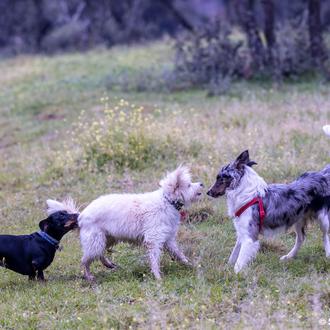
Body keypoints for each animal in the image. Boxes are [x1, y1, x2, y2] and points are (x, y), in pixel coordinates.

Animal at [51, 165, 204, 282]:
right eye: (189, 185)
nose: (202, 183)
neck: (167, 201)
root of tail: (80, 216)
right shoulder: (153, 240)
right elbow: (155, 260)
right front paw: (158, 277)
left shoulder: (168, 239)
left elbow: (179, 254)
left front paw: (189, 264)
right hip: (95, 241)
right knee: (85, 261)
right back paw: (89, 276)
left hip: (106, 239)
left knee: (100, 254)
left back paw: (109, 264)